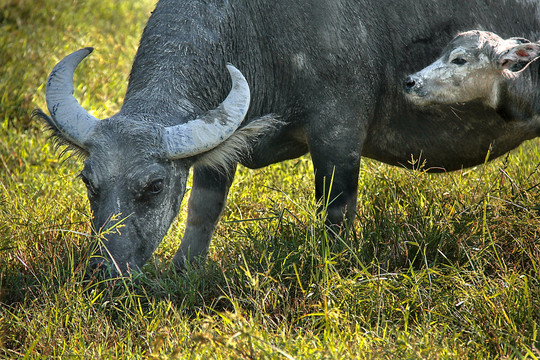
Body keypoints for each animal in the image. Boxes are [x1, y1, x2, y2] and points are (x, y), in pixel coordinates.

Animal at [35, 0, 540, 278]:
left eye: (154, 186)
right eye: (87, 182)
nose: (104, 271)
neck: (255, 25)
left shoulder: (338, 134)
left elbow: (336, 211)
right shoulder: (221, 148)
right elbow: (203, 210)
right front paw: (184, 270)